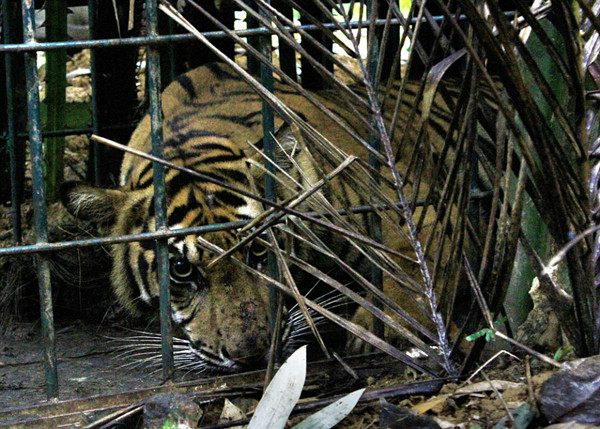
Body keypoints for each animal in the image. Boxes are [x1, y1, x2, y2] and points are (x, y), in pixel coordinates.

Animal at [61, 61, 488, 372]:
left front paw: (389, 333)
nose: (251, 355)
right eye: (182, 269)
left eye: (259, 252)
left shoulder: (419, 207)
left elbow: (413, 273)